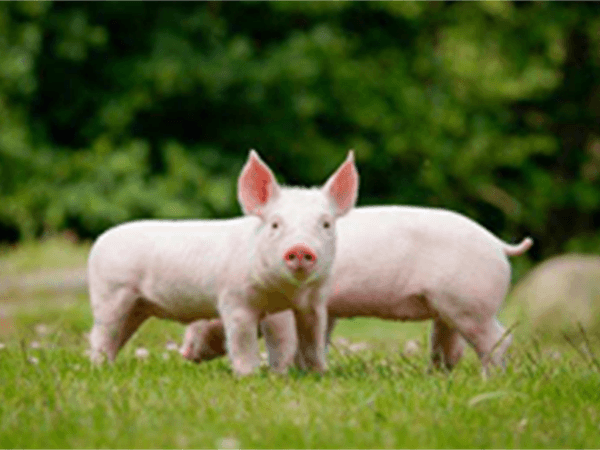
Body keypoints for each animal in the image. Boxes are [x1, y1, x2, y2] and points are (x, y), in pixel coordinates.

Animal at [86, 149, 358, 374]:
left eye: (326, 224)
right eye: (275, 224)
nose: (300, 248)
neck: (286, 293)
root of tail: (100, 240)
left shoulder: (314, 303)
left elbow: (309, 340)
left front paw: (315, 374)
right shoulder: (234, 299)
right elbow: (242, 340)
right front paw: (249, 376)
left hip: (137, 306)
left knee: (118, 334)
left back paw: (109, 365)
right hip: (111, 293)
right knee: (101, 333)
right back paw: (98, 368)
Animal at [180, 206, 532, 370]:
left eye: (207, 315)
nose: (183, 352)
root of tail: (498, 244)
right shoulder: (328, 310)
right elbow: (319, 338)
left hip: (472, 303)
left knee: (498, 339)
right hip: (449, 309)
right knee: (450, 348)